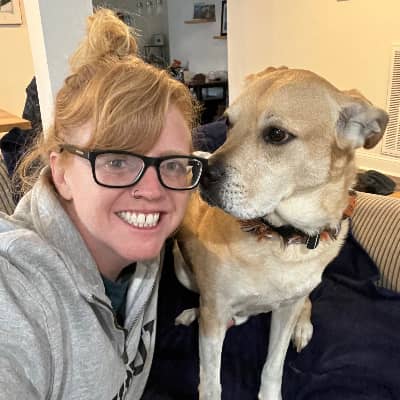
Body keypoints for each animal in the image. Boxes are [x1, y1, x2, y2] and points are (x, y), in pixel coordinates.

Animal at [173, 66, 388, 400]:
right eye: (228, 122)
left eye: (276, 135)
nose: (202, 173)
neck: (280, 239)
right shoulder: (215, 310)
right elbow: (210, 382)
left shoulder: (286, 309)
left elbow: (273, 366)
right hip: (183, 270)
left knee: (307, 300)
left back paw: (302, 326)